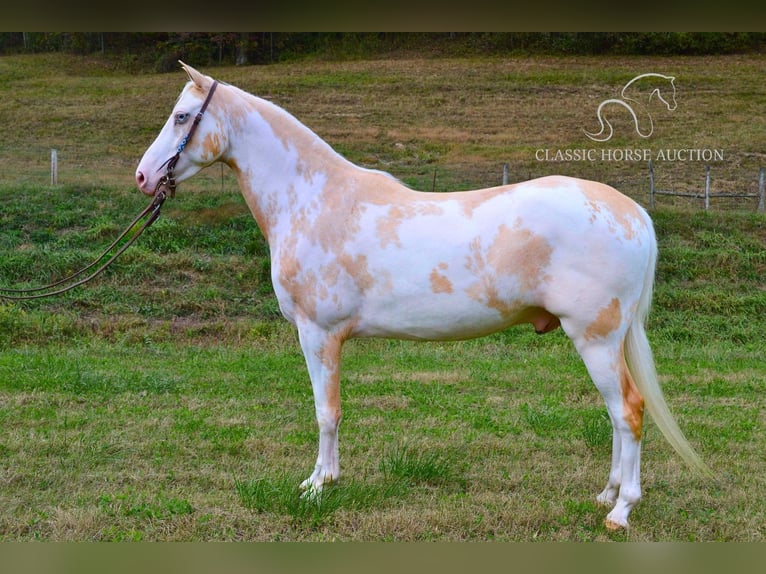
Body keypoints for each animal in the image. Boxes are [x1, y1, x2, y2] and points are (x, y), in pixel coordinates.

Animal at [134, 62, 708, 532]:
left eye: (183, 117)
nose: (143, 176)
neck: (314, 200)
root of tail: (634, 212)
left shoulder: (318, 334)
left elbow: (326, 411)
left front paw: (319, 486)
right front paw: (324, 480)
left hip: (595, 338)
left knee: (628, 411)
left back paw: (621, 510)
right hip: (604, 341)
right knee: (616, 415)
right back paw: (605, 495)